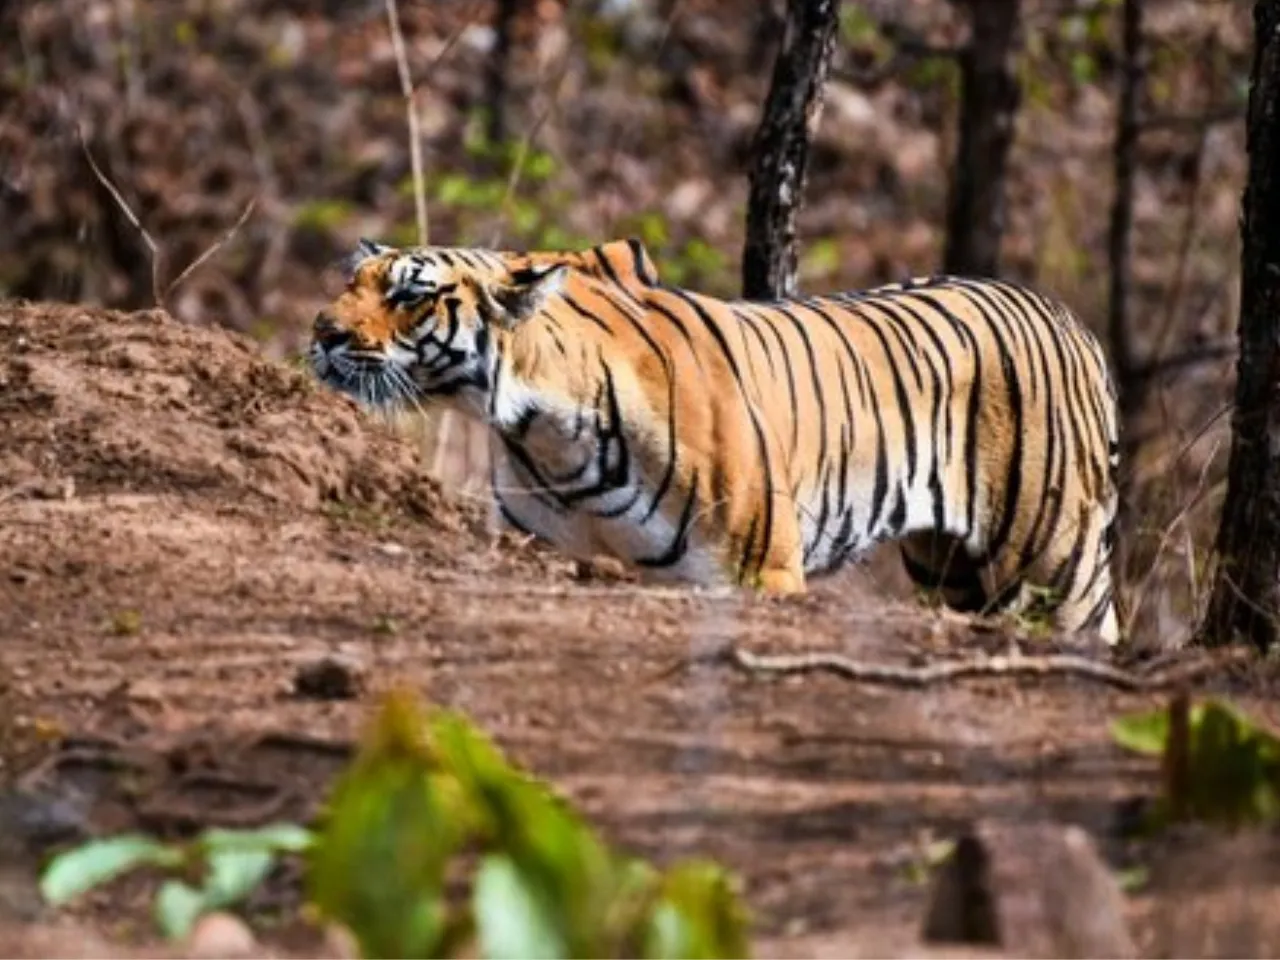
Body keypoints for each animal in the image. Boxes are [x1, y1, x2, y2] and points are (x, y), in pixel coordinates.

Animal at [312, 236, 1121, 642]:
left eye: (411, 293)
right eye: (352, 282)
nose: (322, 331)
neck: (544, 434)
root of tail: (1071, 319)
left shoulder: (763, 572)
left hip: (1057, 567)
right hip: (949, 570)